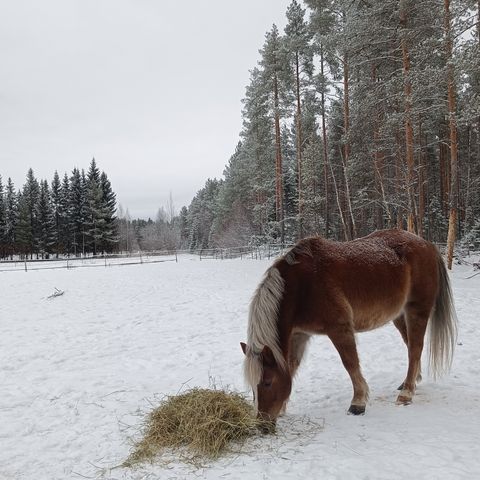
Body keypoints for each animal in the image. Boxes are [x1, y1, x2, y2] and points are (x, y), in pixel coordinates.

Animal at [240, 229, 458, 428]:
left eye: (267, 381)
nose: (262, 425)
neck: (302, 286)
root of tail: (427, 244)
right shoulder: (299, 335)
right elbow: (291, 368)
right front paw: (283, 408)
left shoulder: (339, 328)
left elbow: (350, 363)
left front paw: (358, 403)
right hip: (399, 315)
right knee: (411, 346)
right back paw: (409, 383)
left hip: (417, 311)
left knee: (415, 348)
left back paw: (406, 394)